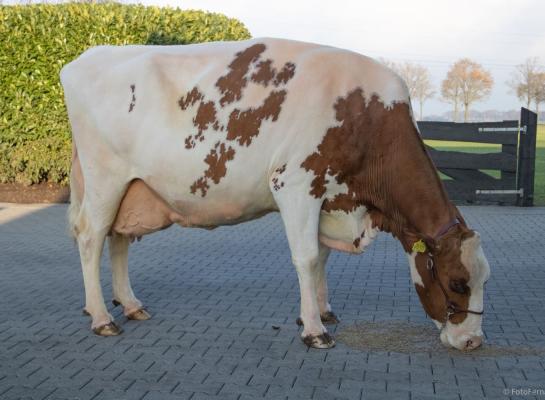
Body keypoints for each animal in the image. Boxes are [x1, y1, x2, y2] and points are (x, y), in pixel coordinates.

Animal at [61, 37, 490, 350]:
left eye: (485, 280)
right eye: (457, 282)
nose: (472, 341)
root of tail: (85, 57)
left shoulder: (331, 198)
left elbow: (322, 259)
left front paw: (321, 311)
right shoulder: (296, 184)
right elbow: (307, 257)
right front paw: (315, 330)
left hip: (131, 187)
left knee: (118, 238)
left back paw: (130, 305)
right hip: (105, 179)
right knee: (91, 237)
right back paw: (102, 318)